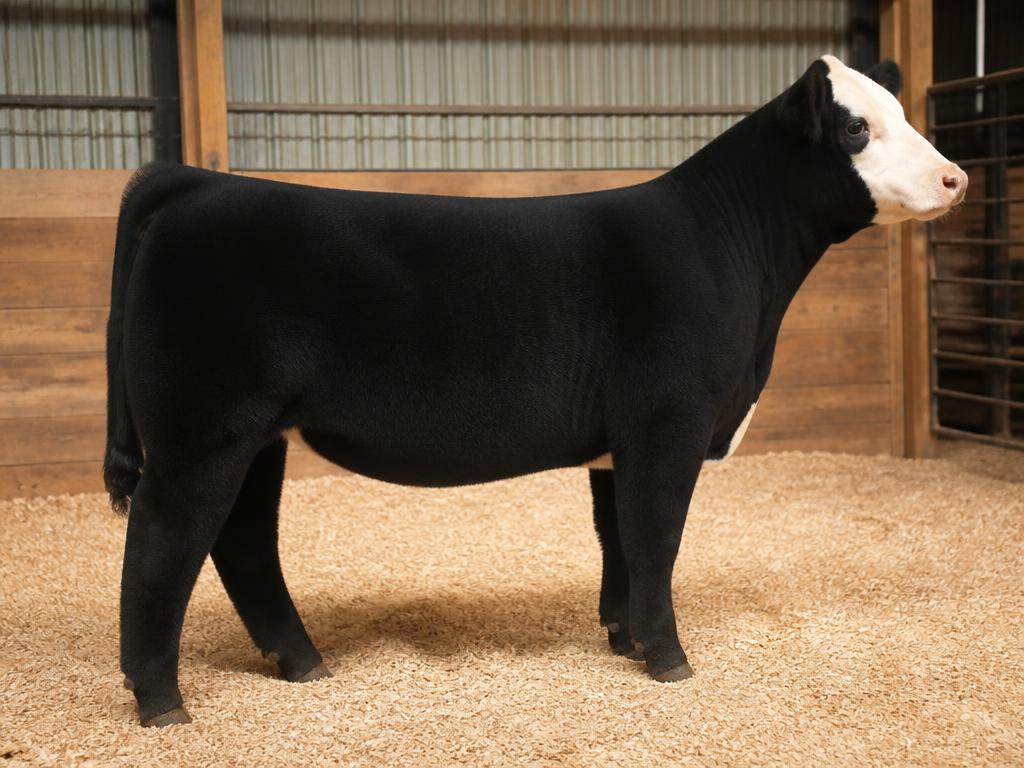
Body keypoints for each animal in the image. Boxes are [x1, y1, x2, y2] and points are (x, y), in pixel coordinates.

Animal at [104, 55, 966, 726]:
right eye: (856, 130)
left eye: (902, 115)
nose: (956, 176)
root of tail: (192, 183)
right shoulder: (669, 420)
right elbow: (655, 537)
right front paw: (670, 659)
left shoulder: (621, 440)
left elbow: (618, 539)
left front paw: (624, 639)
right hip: (202, 429)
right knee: (163, 541)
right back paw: (162, 703)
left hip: (256, 436)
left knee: (244, 541)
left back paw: (303, 662)